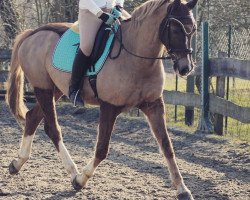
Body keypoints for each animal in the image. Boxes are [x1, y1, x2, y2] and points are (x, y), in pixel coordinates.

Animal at [4, 0, 198, 198]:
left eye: (193, 29)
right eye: (175, 29)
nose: (185, 68)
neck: (136, 57)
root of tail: (33, 33)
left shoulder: (154, 105)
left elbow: (167, 146)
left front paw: (183, 189)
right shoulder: (109, 107)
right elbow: (102, 149)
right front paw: (81, 180)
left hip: (55, 90)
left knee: (32, 118)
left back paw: (17, 164)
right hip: (42, 89)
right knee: (53, 129)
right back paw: (73, 172)